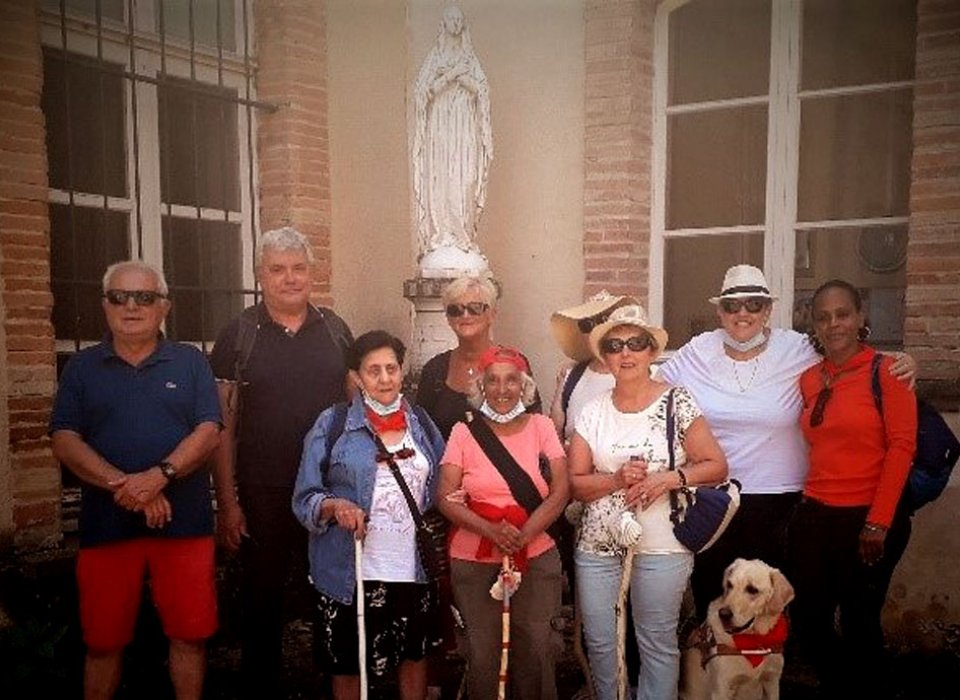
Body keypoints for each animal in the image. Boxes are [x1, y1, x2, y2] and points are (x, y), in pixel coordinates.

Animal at [676, 556, 796, 700]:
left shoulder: (772, 681)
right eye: (729, 585)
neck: (753, 643)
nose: (723, 614)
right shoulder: (722, 689)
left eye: (752, 589)